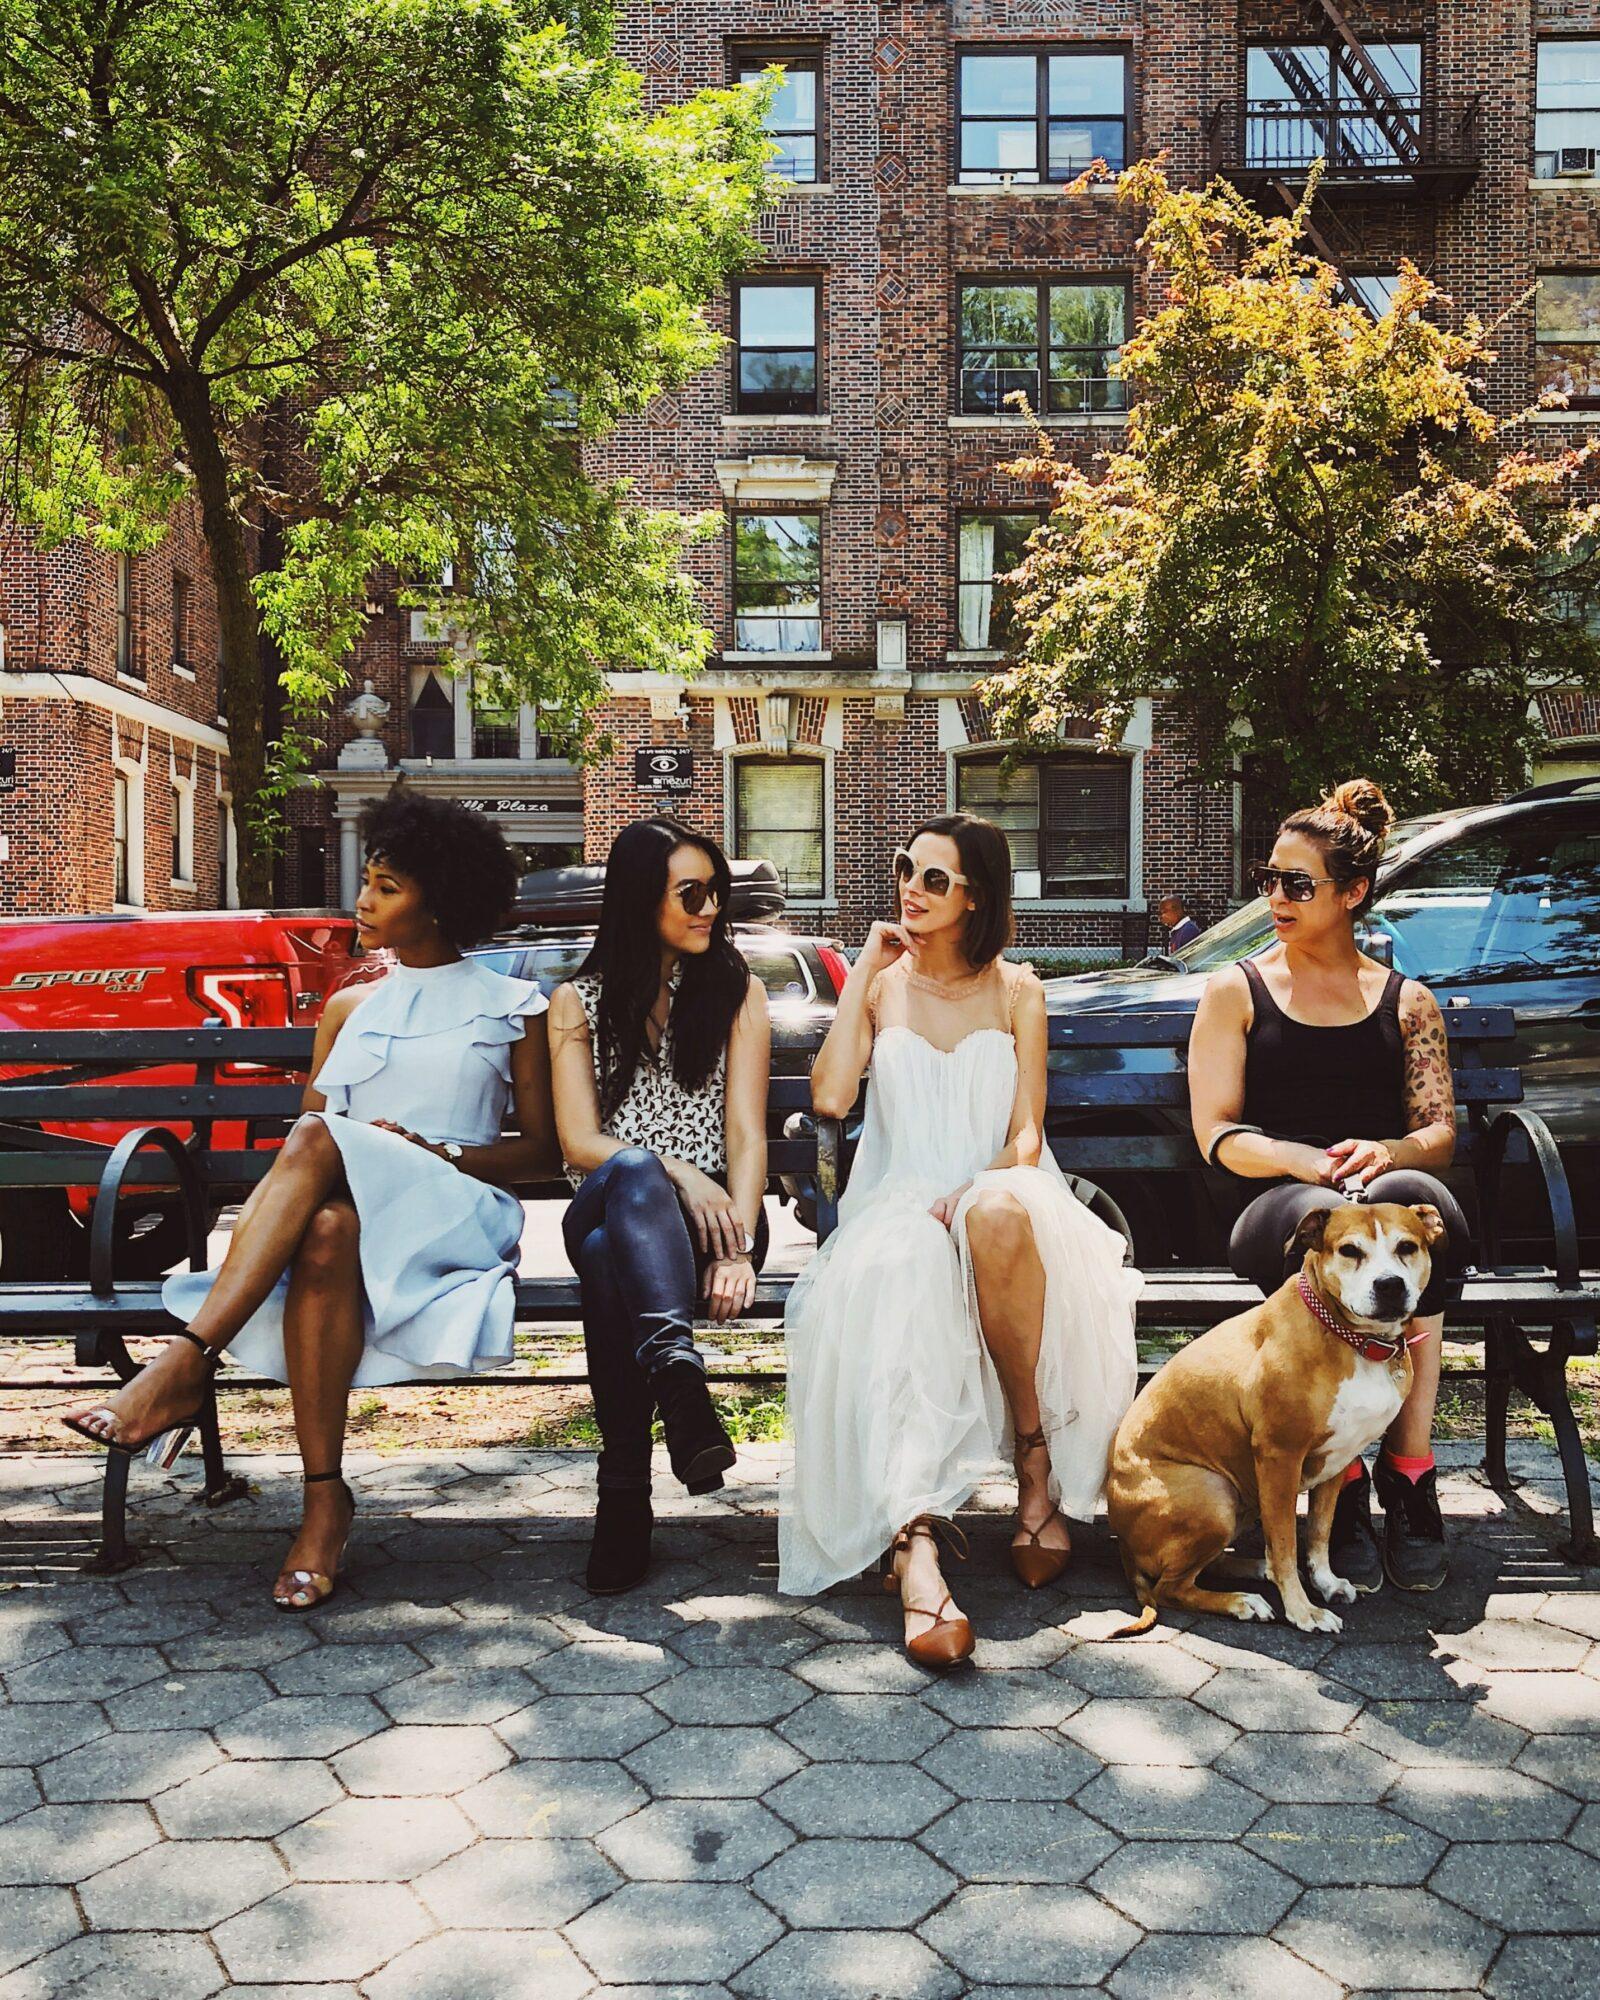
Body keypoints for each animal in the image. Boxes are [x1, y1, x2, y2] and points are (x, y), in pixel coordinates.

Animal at [1104, 1192, 1440, 1632]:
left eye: (1407, 1247)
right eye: (1350, 1251)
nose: (1389, 1285)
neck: (1350, 1338)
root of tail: (1124, 1550)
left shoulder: (1339, 1459)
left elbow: (1319, 1532)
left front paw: (1325, 1582)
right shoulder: (1280, 1457)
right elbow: (1284, 1543)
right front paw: (1302, 1610)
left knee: (1206, 1566)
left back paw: (1254, 1570)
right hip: (1215, 1495)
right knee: (1171, 1587)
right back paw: (1241, 1601)